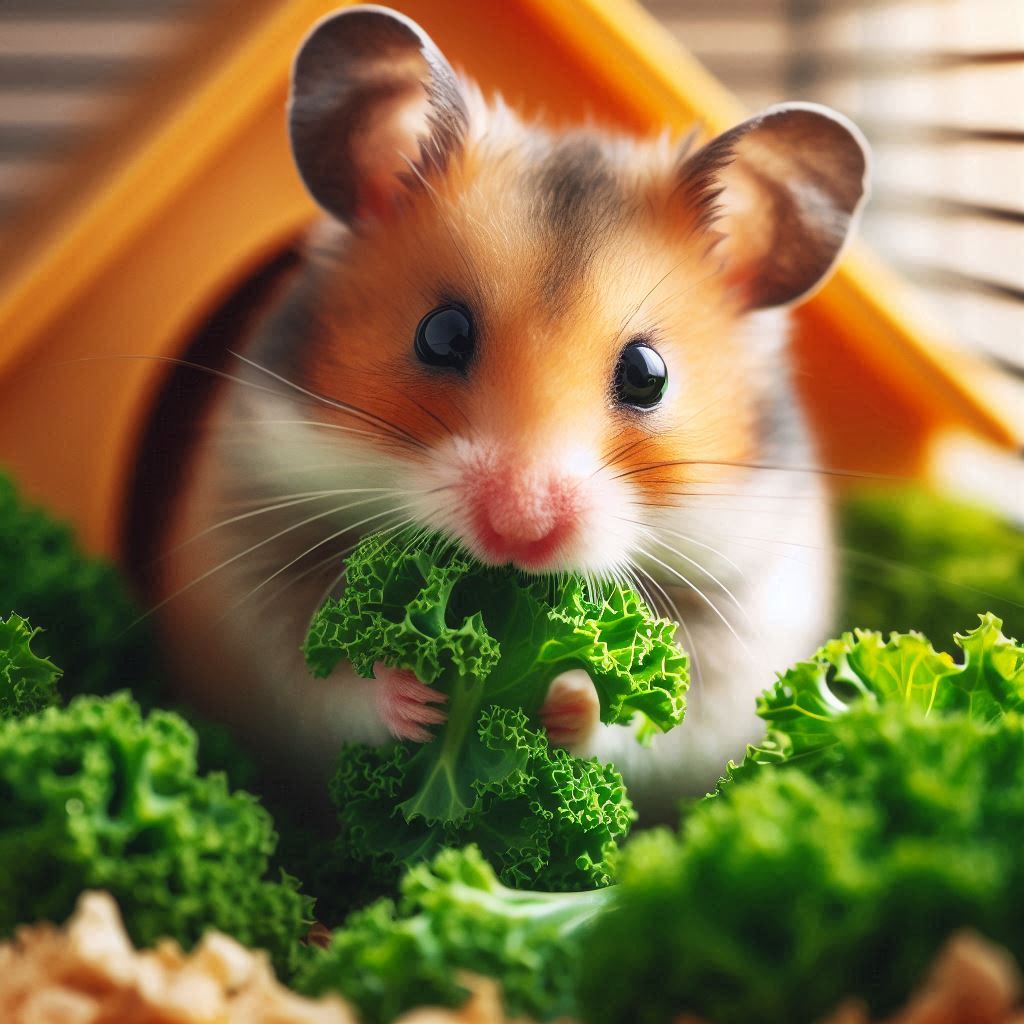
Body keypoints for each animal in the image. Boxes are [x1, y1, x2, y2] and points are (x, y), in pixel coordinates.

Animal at [151, 0, 868, 815]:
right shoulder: (255, 571)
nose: (520, 528)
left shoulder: (738, 627)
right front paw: (420, 699)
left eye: (647, 374)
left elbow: (651, 721)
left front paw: (569, 702)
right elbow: (324, 678)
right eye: (441, 333)